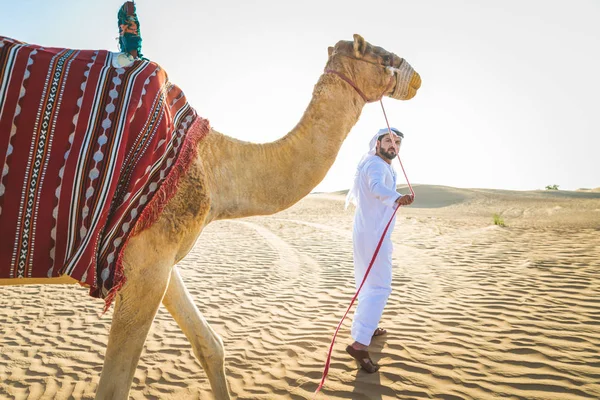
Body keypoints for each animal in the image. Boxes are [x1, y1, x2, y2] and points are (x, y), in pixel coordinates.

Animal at [0, 35, 420, 400]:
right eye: (382, 56)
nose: (416, 77)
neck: (209, 164)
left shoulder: (157, 261)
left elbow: (211, 345)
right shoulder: (146, 263)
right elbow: (114, 387)